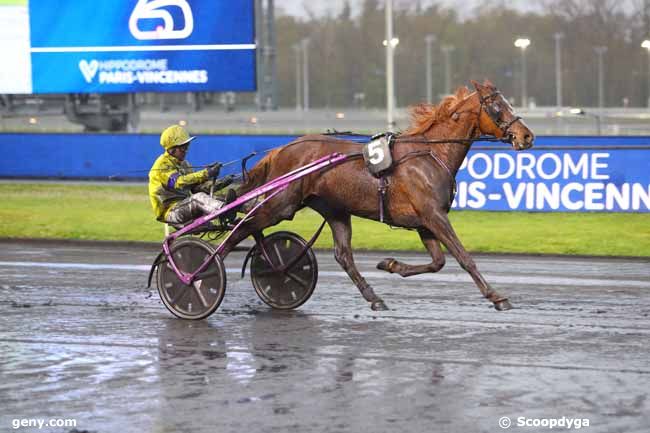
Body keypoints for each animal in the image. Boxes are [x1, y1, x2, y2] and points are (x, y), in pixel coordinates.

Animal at [223, 80, 532, 310]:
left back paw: (373, 298)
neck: (431, 154)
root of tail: (281, 149)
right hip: (281, 204)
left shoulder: (425, 221)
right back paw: (210, 272)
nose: (527, 136)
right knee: (243, 228)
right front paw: (497, 297)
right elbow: (463, 257)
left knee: (343, 255)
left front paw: (391, 264)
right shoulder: (433, 216)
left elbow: (438, 262)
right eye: (496, 107)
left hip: (335, 210)